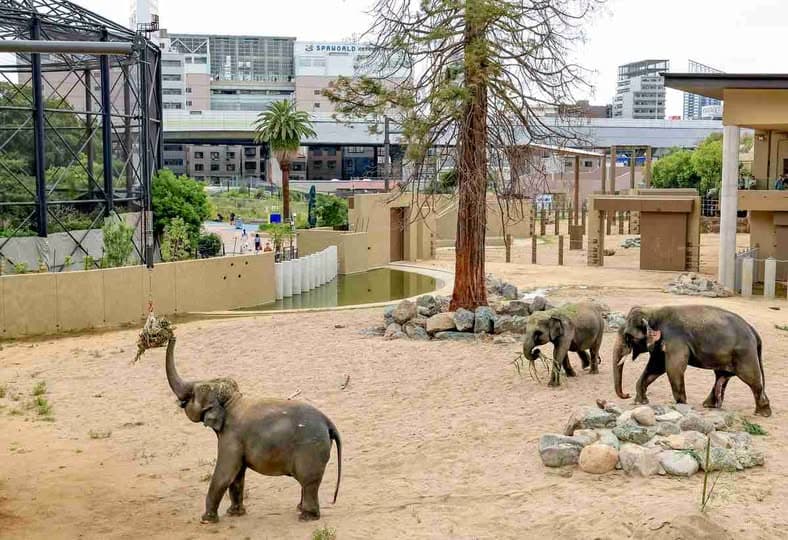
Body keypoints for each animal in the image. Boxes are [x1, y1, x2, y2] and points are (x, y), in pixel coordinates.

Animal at [164, 337, 342, 523]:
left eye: (193, 394)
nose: (172, 336)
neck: (232, 401)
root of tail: (328, 422)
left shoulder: (231, 436)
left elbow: (226, 473)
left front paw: (206, 520)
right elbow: (237, 475)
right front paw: (234, 513)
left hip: (310, 449)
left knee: (308, 481)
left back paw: (306, 517)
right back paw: (300, 509)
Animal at [613, 305, 771, 417]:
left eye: (628, 336)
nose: (626, 395)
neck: (653, 311)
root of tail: (754, 332)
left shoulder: (675, 339)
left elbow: (673, 368)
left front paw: (682, 404)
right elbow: (656, 367)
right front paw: (640, 402)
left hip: (744, 353)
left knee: (751, 379)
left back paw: (762, 413)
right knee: (721, 376)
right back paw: (709, 405)